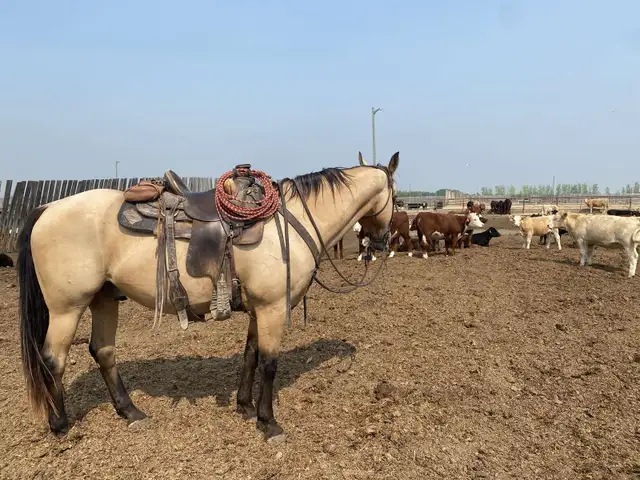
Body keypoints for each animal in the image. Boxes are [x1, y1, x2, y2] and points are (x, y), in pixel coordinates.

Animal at [17, 153, 399, 444]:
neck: (293, 221)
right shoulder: (273, 307)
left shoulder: (258, 309)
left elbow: (250, 355)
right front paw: (268, 422)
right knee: (53, 360)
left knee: (103, 351)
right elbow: (269, 363)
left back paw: (131, 412)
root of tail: (47, 207)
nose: (380, 239)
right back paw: (60, 424)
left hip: (104, 299)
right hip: (67, 307)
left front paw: (245, 406)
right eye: (395, 198)